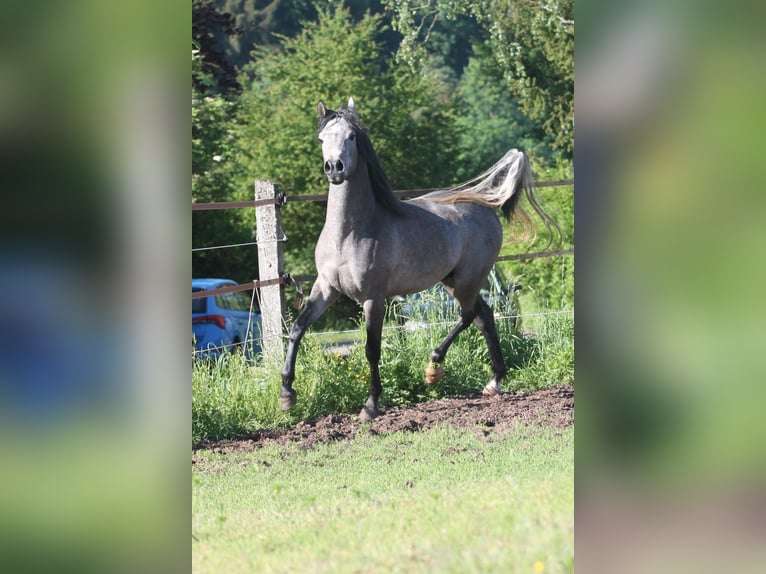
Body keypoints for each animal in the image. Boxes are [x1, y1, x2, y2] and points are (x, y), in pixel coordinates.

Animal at [282, 98, 560, 424]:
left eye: (351, 137)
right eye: (321, 139)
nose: (334, 169)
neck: (349, 233)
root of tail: (483, 207)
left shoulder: (373, 298)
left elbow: (371, 349)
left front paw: (370, 405)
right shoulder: (326, 288)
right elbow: (297, 328)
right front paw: (287, 394)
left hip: (467, 280)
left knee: (469, 315)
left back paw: (434, 367)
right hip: (453, 280)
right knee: (484, 316)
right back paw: (493, 382)